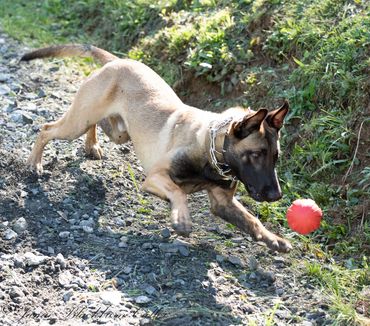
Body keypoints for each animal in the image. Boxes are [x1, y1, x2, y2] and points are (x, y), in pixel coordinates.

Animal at [21, 44, 292, 252]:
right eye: (255, 155)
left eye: (276, 157)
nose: (276, 196)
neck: (210, 147)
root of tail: (117, 61)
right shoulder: (155, 177)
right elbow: (178, 191)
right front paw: (181, 218)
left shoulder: (223, 203)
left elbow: (252, 221)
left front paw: (274, 239)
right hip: (77, 123)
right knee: (46, 129)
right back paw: (35, 163)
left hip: (118, 132)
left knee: (98, 124)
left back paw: (92, 145)